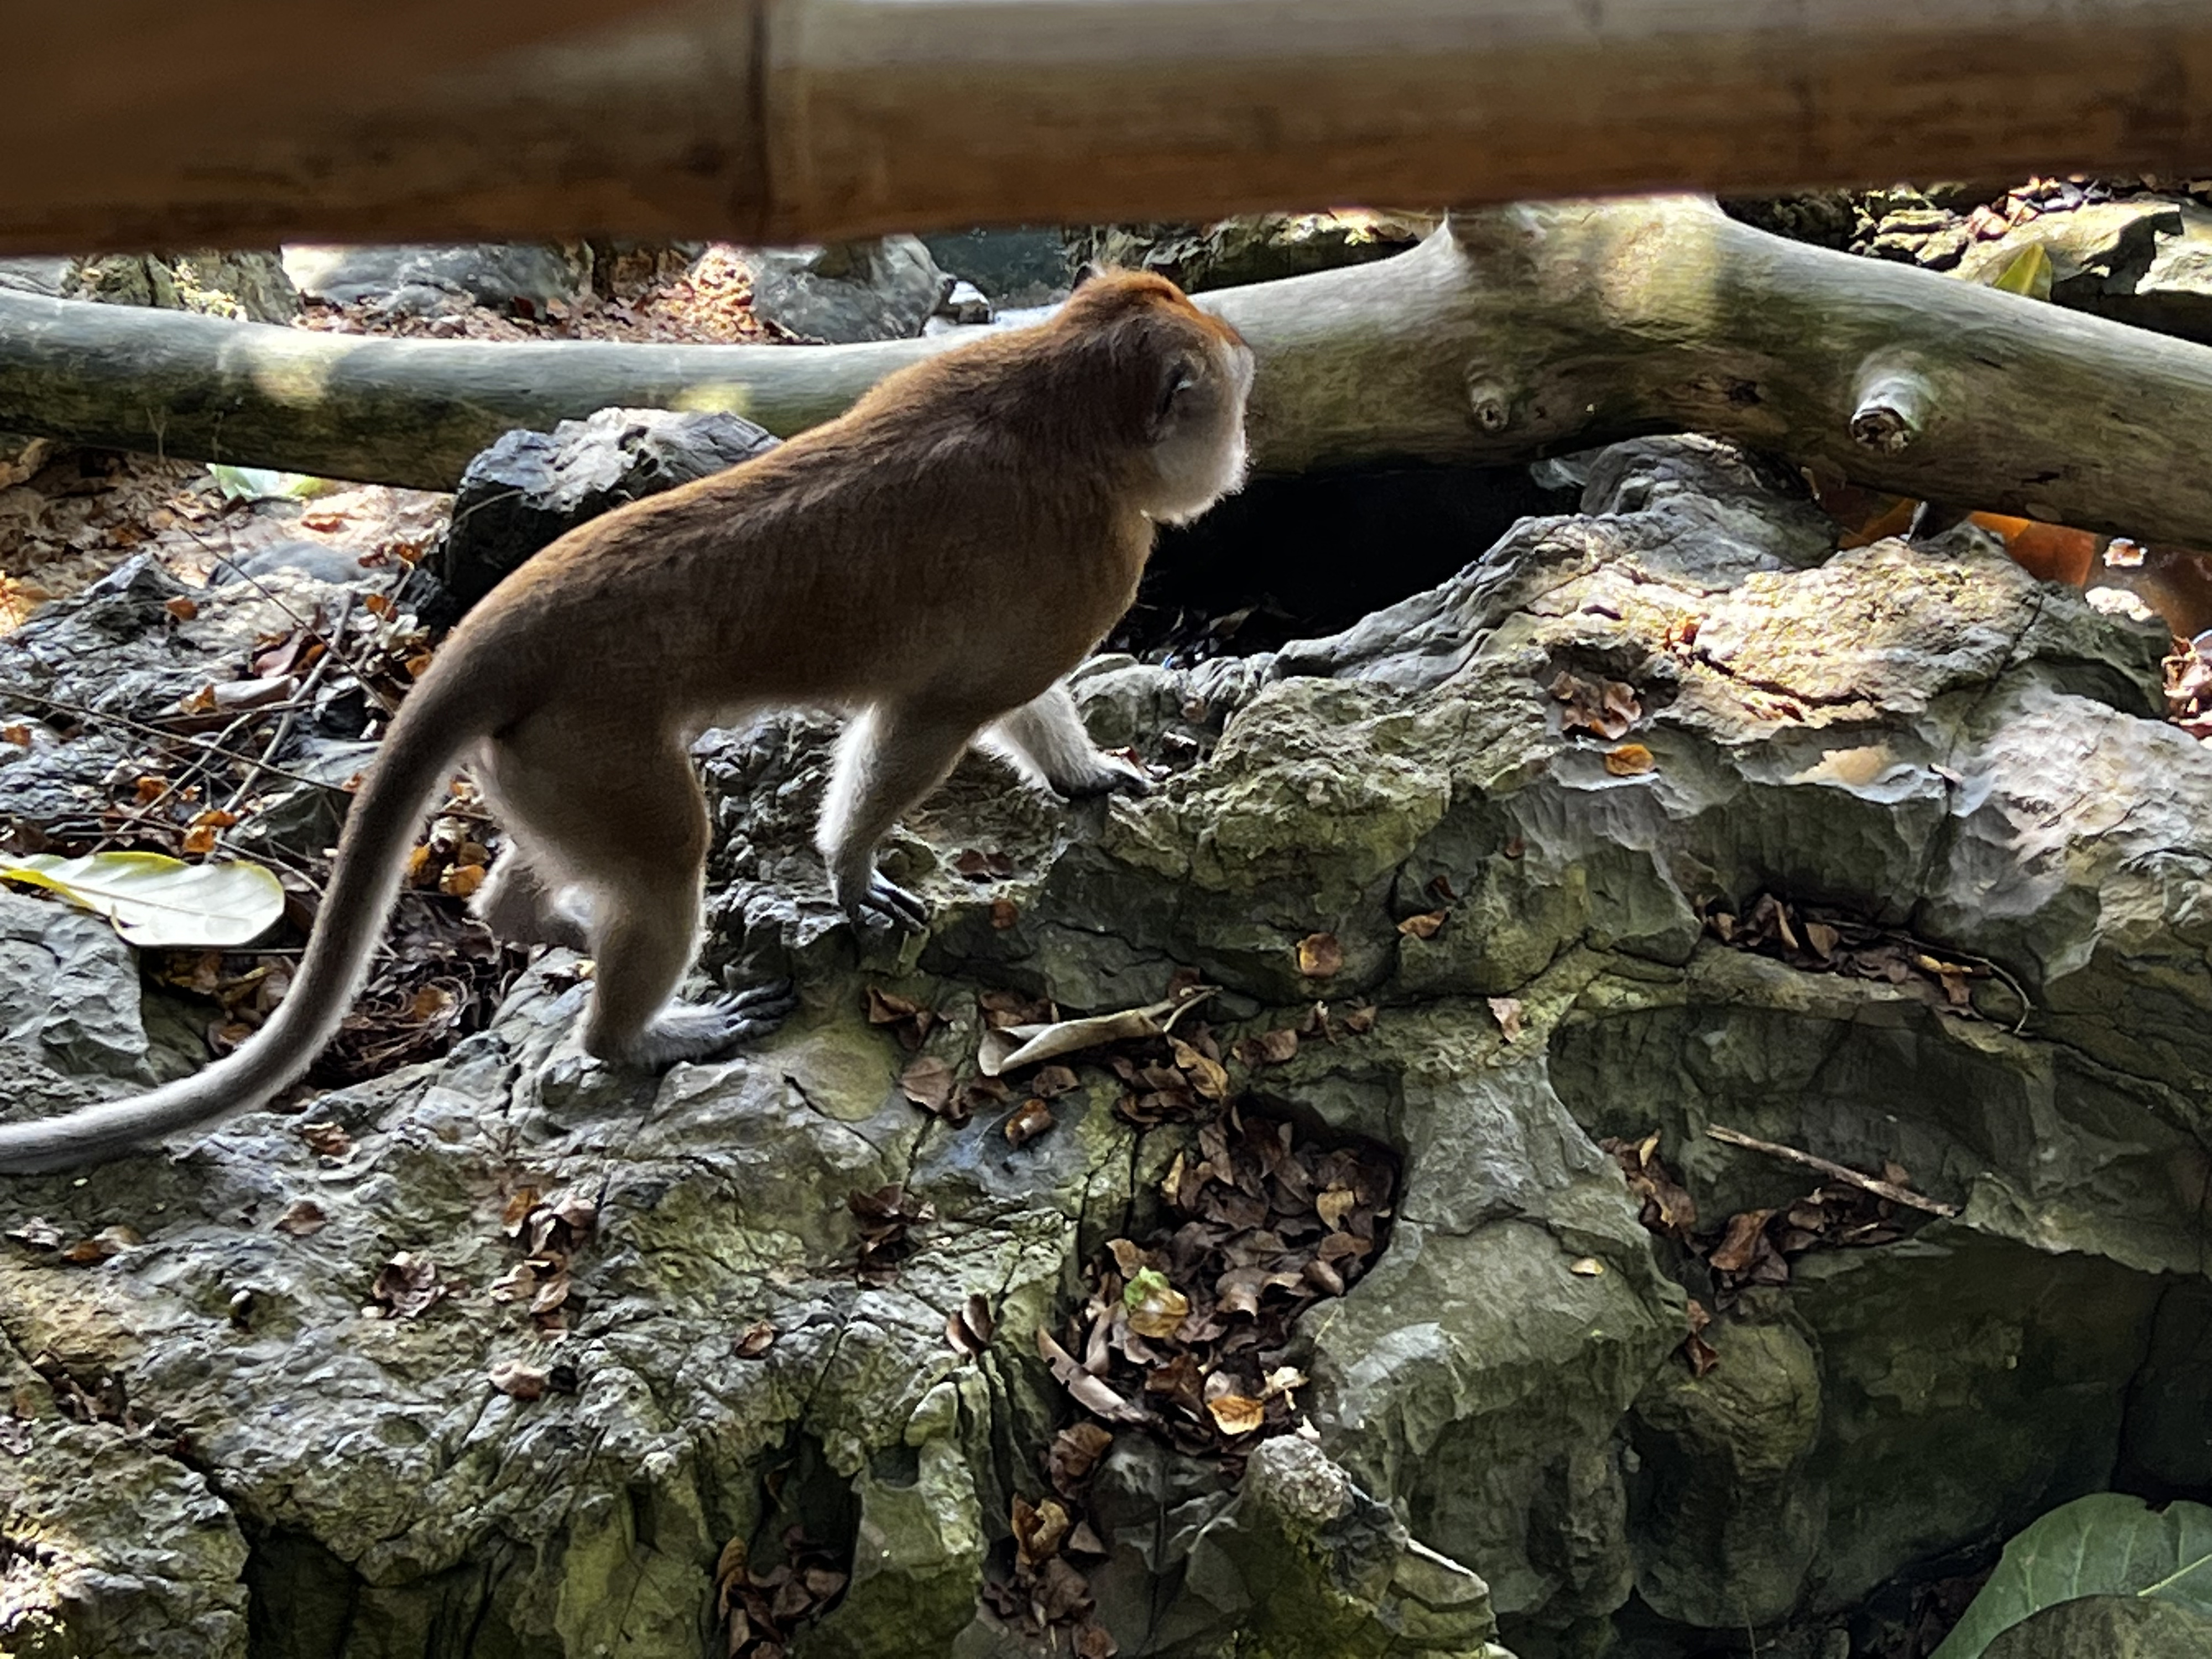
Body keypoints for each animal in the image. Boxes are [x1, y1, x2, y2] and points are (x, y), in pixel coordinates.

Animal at [0, 273, 1248, 1177]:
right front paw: (850, 872)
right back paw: (634, 1034)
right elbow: (932, 716)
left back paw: (532, 922)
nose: (1244, 428)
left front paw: (1083, 779)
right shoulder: (1088, 560)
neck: (1060, 402)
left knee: (580, 864)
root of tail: (496, 627)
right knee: (663, 861)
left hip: (540, 760)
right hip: (595, 745)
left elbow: (1007, 695)